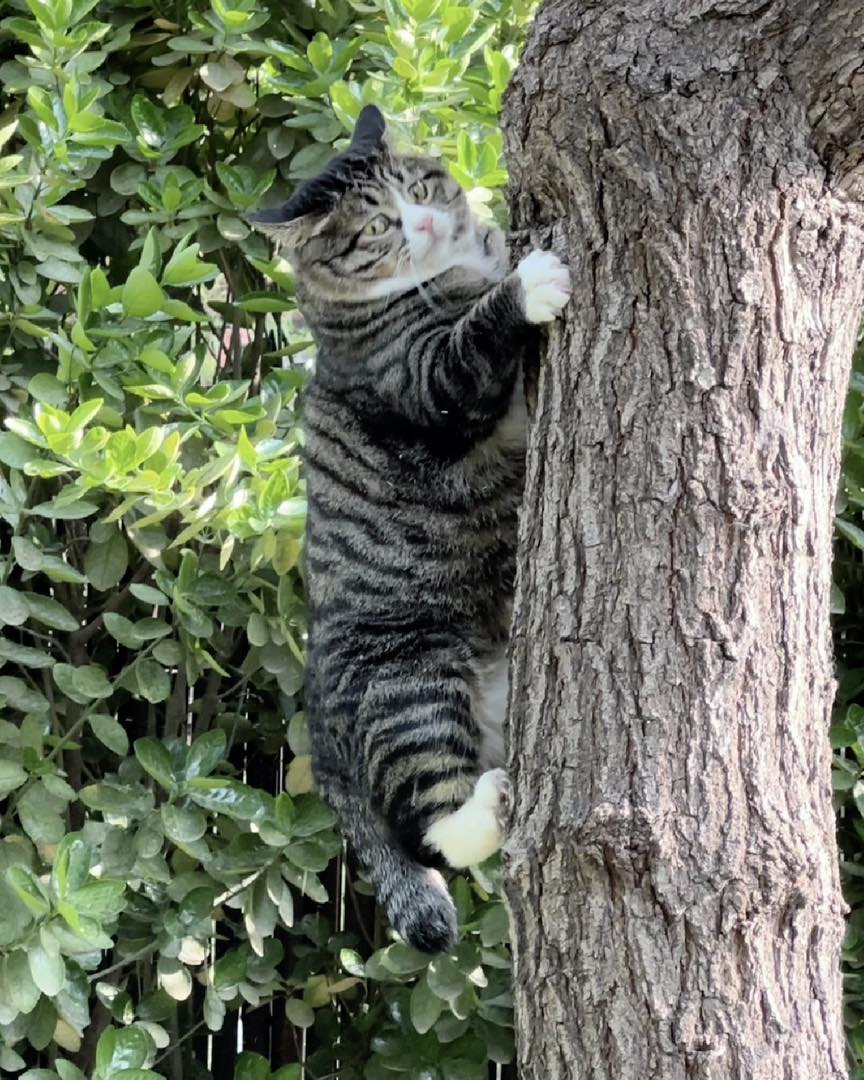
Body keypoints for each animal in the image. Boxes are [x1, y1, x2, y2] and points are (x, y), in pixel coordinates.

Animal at [249, 105, 570, 950]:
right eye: (376, 225)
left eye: (420, 188)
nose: (422, 221)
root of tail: (319, 734)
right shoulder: (421, 378)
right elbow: (470, 342)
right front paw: (529, 282)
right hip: (410, 681)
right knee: (431, 828)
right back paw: (482, 809)